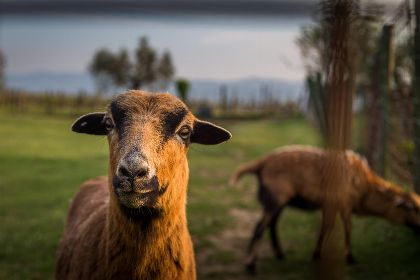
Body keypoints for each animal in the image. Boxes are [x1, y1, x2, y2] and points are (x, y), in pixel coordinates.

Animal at [230, 145, 420, 272]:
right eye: (412, 209)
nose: (419, 228)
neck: (365, 189)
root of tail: (260, 164)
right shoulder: (343, 202)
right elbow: (345, 227)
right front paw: (349, 258)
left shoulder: (331, 205)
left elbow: (326, 227)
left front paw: (317, 255)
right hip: (275, 198)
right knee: (259, 227)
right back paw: (251, 265)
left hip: (276, 201)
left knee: (271, 225)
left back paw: (279, 255)